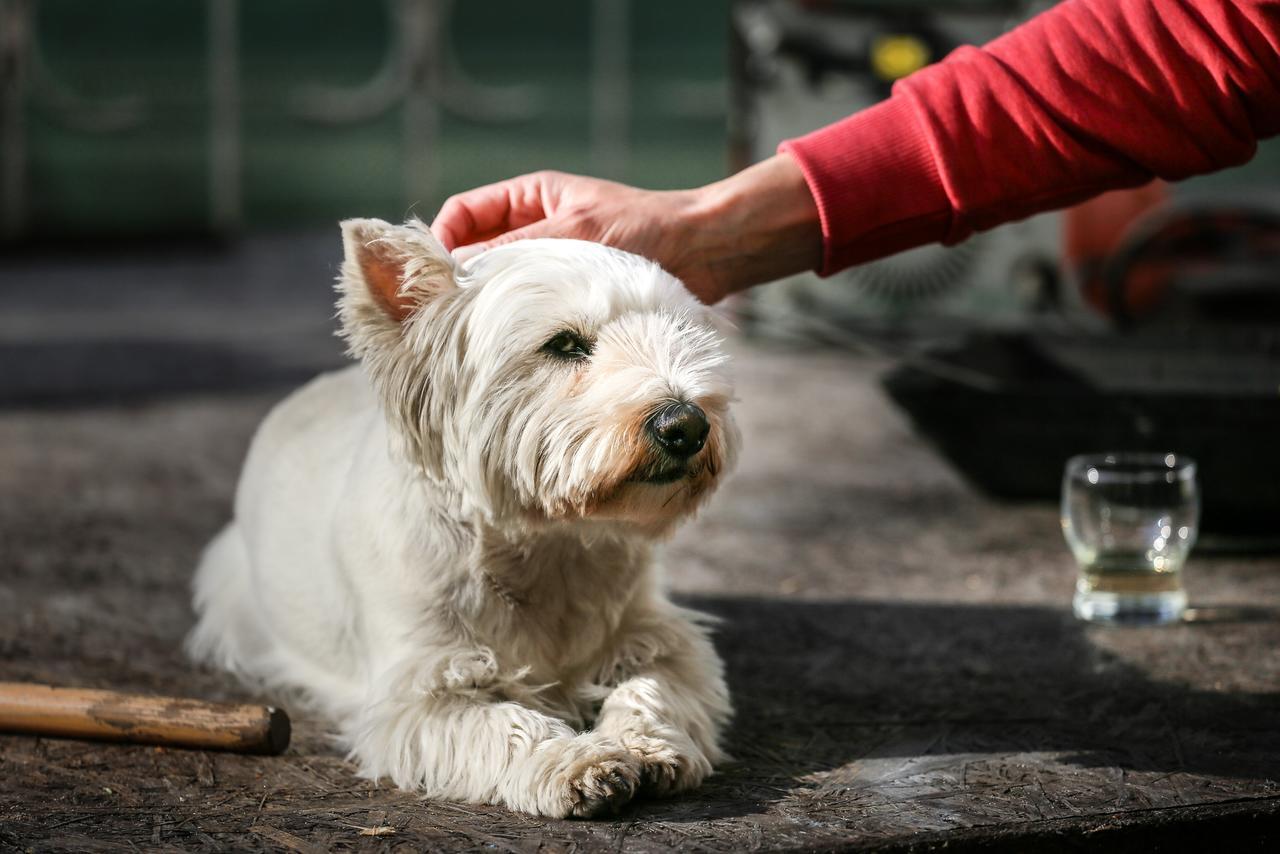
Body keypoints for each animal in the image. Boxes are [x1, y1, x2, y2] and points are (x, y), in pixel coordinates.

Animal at [185, 218, 737, 814]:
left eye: (683, 332)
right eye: (565, 344)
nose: (686, 425)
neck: (547, 546)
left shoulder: (661, 636)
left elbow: (655, 685)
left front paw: (645, 744)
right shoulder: (420, 694)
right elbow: (506, 725)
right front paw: (575, 762)